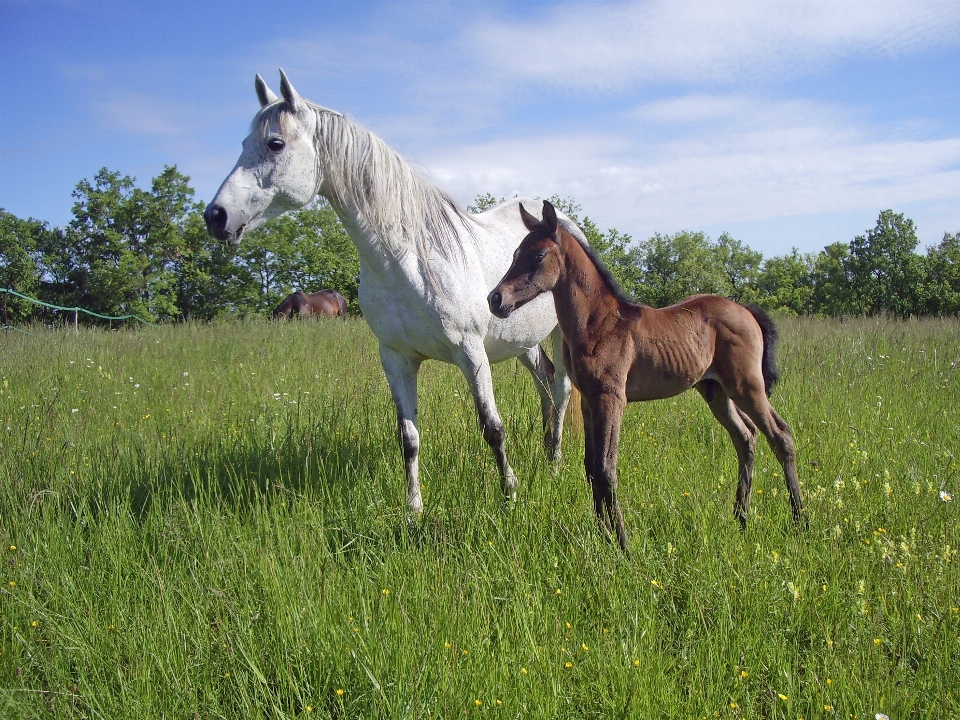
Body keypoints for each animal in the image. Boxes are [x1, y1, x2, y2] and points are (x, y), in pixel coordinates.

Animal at [204, 70, 584, 516]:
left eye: (275, 143)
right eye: (244, 143)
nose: (216, 216)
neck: (410, 259)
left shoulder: (471, 353)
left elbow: (492, 427)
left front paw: (510, 494)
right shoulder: (396, 358)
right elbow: (409, 438)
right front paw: (413, 510)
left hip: (559, 335)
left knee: (560, 390)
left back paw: (555, 464)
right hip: (523, 342)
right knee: (544, 384)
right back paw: (546, 452)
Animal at [484, 202, 808, 552]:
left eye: (538, 256)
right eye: (516, 253)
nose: (495, 299)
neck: (598, 323)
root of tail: (746, 310)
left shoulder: (612, 399)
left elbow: (606, 468)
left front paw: (623, 545)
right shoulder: (590, 402)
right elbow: (591, 467)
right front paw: (603, 537)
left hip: (746, 385)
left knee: (780, 435)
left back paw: (799, 520)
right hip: (716, 391)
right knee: (746, 436)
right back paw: (741, 518)